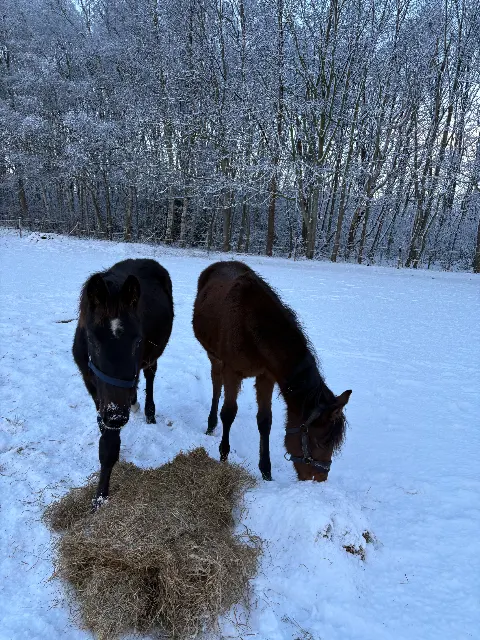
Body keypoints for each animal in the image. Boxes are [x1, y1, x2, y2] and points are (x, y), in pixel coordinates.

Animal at [73, 259, 174, 508]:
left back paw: (148, 413)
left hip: (151, 358)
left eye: (137, 340)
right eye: (92, 340)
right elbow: (104, 432)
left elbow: (109, 446)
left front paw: (100, 499)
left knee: (150, 376)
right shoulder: (93, 386)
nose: (117, 416)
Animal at [192, 260, 351, 482]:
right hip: (214, 355)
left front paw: (266, 470)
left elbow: (265, 420)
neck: (251, 327)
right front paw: (223, 455)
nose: (319, 478)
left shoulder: (266, 376)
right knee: (216, 383)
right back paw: (211, 423)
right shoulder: (232, 371)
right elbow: (229, 412)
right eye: (319, 442)